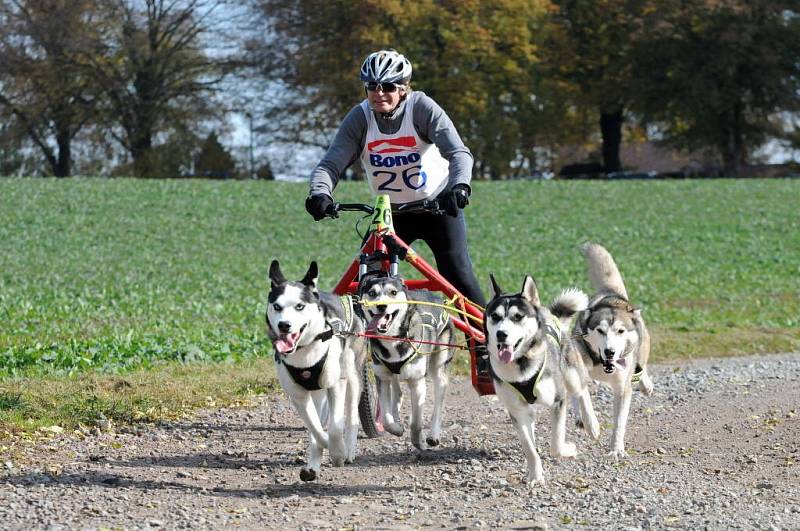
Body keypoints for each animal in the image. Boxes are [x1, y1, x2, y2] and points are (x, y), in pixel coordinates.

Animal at [268, 262, 368, 482]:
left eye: (299, 306)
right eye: (277, 306)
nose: (284, 325)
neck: (304, 351)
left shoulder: (335, 384)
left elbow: (335, 428)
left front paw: (338, 452)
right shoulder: (299, 396)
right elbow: (315, 428)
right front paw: (323, 449)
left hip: (351, 372)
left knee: (351, 414)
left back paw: (348, 450)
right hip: (317, 391)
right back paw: (313, 465)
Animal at [358, 276, 454, 450]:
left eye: (393, 292)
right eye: (372, 293)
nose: (381, 306)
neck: (393, 339)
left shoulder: (417, 382)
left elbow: (416, 422)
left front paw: (418, 442)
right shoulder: (383, 378)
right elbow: (386, 418)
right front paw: (396, 428)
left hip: (440, 368)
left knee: (438, 404)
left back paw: (433, 435)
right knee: (397, 393)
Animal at [482, 276, 600, 488]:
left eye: (518, 317)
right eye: (495, 316)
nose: (501, 334)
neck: (521, 363)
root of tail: (548, 313)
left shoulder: (558, 400)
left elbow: (556, 444)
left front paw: (568, 449)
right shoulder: (517, 411)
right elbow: (529, 448)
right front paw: (535, 475)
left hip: (570, 372)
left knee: (581, 390)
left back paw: (591, 424)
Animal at [576, 243, 656, 460]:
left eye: (620, 331)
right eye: (600, 330)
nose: (610, 352)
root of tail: (612, 294)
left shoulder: (622, 388)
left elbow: (620, 421)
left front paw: (616, 449)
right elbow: (584, 399)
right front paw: (592, 426)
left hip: (642, 348)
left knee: (641, 366)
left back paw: (646, 384)